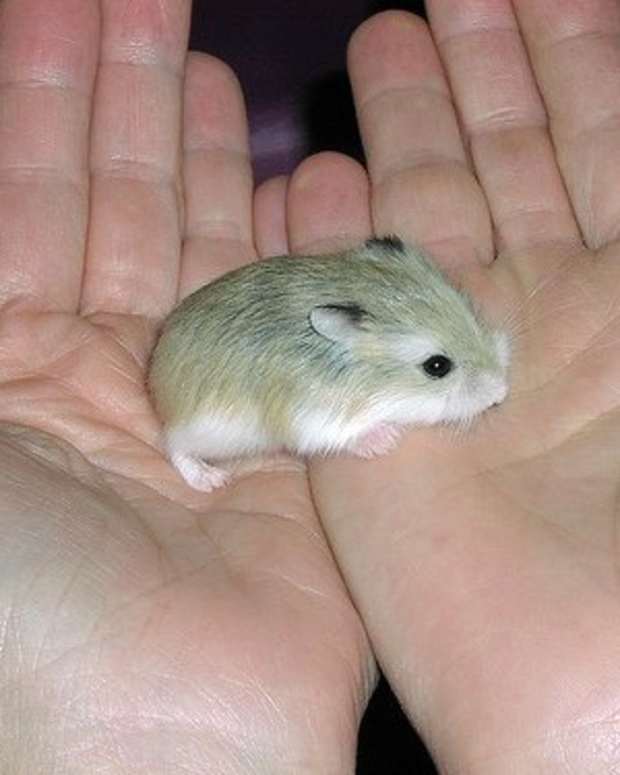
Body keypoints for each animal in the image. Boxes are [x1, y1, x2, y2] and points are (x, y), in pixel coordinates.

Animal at [148, 236, 510, 492]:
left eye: (469, 311)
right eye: (437, 366)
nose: (502, 392)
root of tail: (155, 373)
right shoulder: (312, 416)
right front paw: (386, 439)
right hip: (205, 429)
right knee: (175, 447)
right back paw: (210, 480)